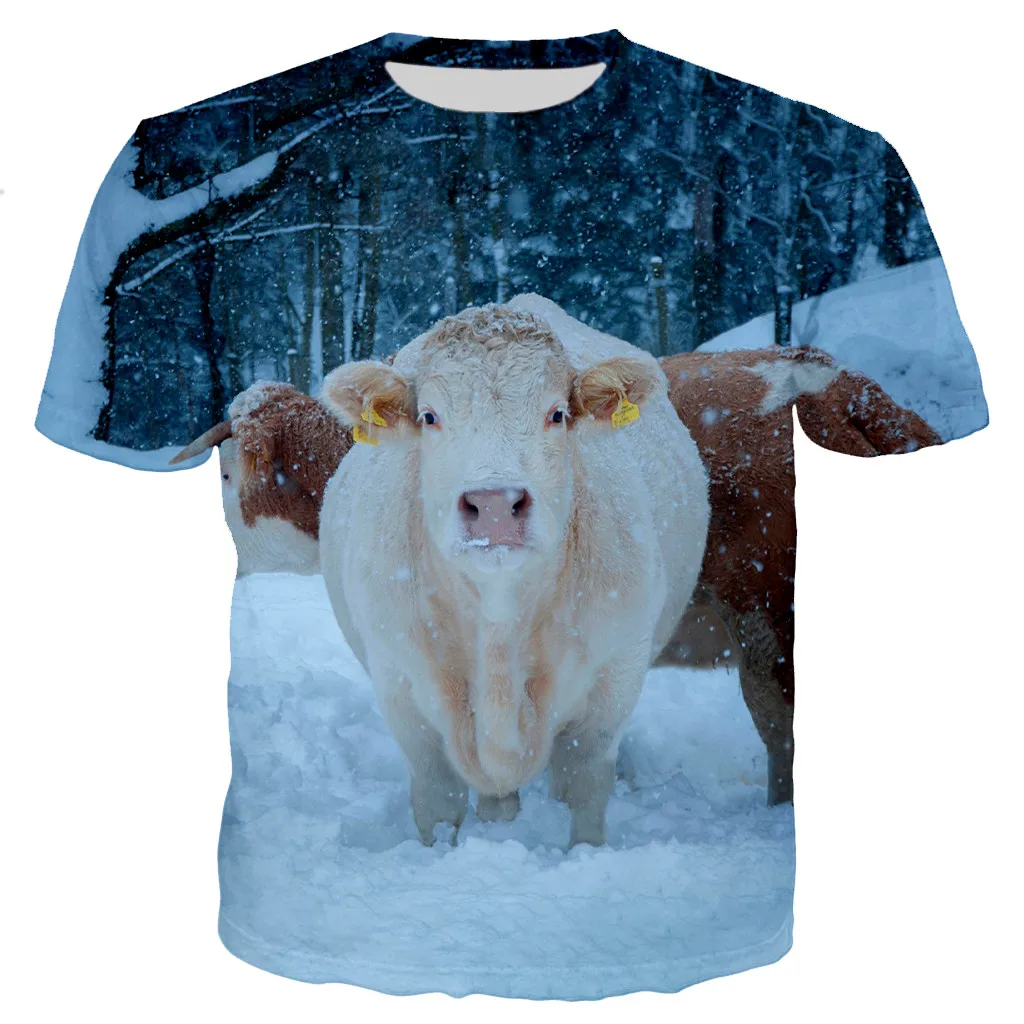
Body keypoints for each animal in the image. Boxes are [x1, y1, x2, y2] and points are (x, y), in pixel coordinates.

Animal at [317, 296, 711, 847]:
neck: (499, 624)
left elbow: (585, 786)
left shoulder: (615, 674)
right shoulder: (400, 683)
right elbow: (438, 799)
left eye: (557, 413)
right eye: (429, 416)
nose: (494, 504)